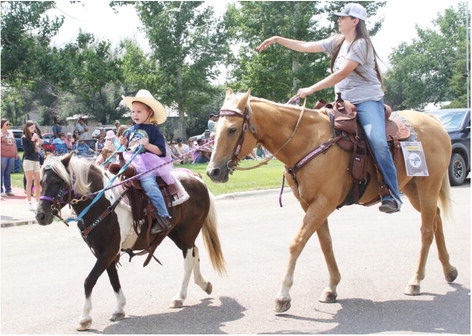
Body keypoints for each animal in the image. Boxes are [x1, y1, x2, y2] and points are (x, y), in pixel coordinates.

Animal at [37, 153, 225, 330]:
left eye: (57, 181)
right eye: (41, 182)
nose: (40, 216)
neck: (103, 202)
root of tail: (196, 177)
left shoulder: (109, 250)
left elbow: (89, 280)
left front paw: (85, 318)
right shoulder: (103, 252)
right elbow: (113, 278)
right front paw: (119, 309)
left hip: (188, 232)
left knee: (188, 260)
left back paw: (179, 297)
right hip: (175, 233)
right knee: (195, 252)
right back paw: (204, 284)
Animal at [207, 88, 458, 312]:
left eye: (232, 129)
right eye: (214, 130)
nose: (213, 172)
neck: (306, 141)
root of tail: (433, 120)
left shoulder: (323, 203)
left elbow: (296, 243)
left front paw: (283, 295)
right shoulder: (310, 204)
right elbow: (325, 243)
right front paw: (332, 287)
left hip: (428, 185)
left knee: (426, 229)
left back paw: (415, 281)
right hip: (413, 188)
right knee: (436, 218)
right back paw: (449, 270)